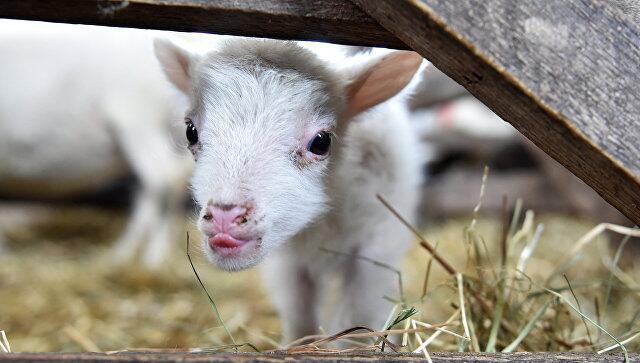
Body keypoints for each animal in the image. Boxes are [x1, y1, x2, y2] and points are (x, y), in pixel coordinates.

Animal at [155, 37, 424, 342]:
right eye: (191, 132)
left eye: (321, 142)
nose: (225, 218)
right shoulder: (288, 265)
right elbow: (299, 315)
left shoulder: (374, 251)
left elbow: (357, 319)